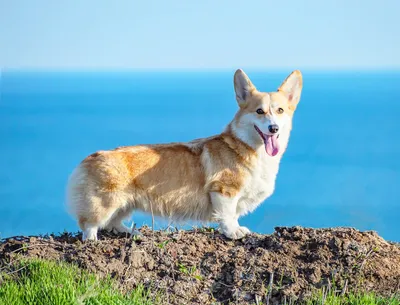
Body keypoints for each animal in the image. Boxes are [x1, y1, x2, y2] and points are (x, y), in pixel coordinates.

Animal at [66, 69, 304, 240]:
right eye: (259, 111)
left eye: (280, 110)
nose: (273, 128)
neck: (246, 146)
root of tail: (90, 157)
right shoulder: (224, 190)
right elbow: (227, 215)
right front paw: (233, 232)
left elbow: (234, 215)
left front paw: (237, 228)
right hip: (106, 202)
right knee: (90, 224)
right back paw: (92, 240)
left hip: (125, 203)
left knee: (112, 223)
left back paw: (128, 231)